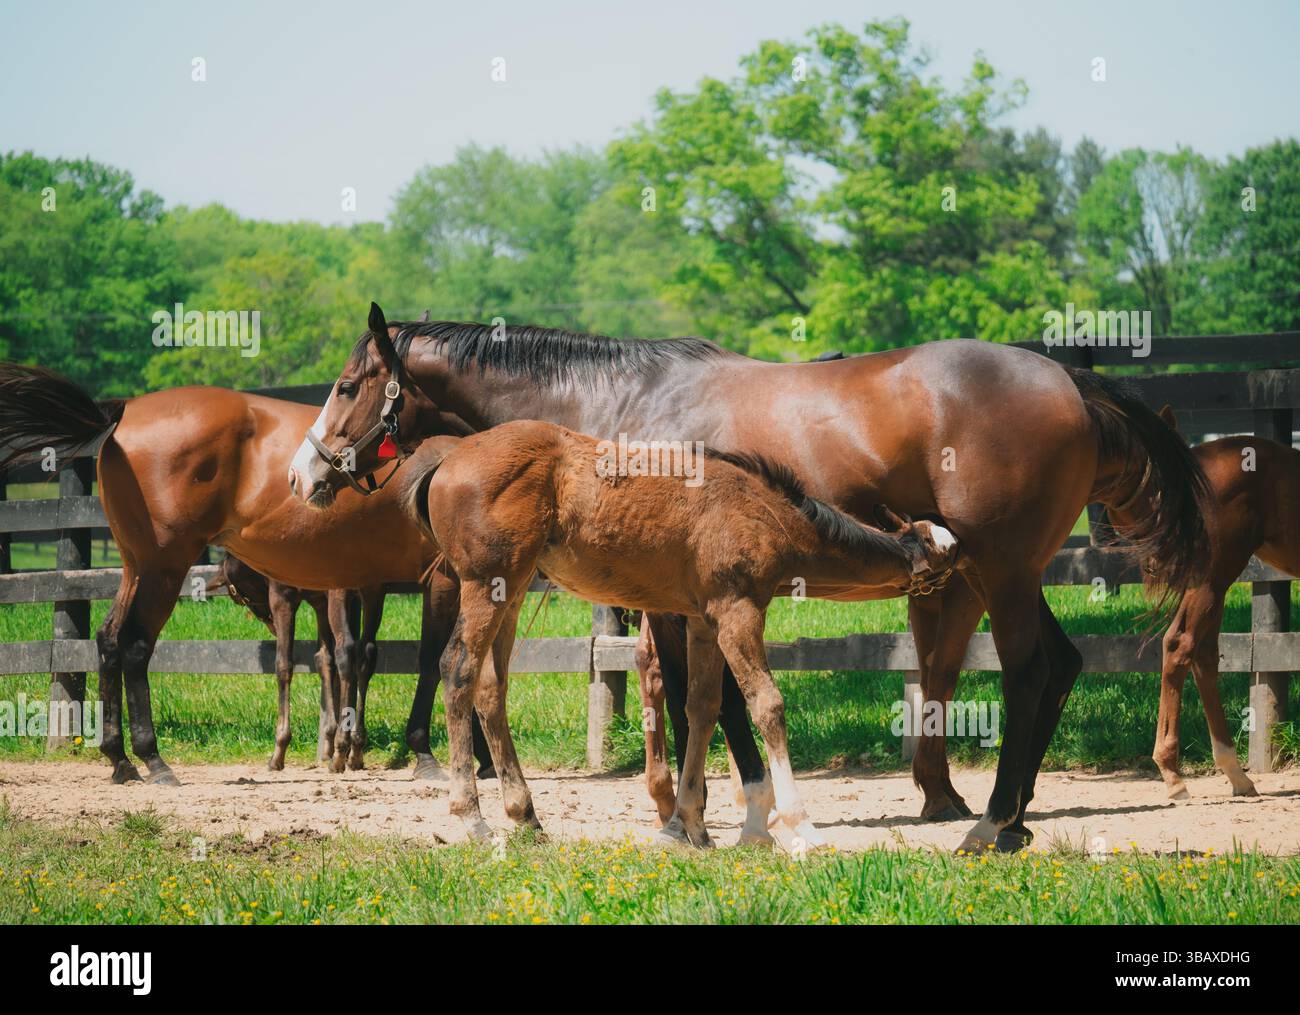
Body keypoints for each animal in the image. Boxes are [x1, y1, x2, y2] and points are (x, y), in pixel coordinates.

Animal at [0, 365, 494, 783]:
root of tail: (119, 417)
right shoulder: (437, 580)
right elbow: (433, 660)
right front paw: (429, 754)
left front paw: (479, 757)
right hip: (163, 568)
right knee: (135, 645)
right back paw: (152, 757)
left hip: (137, 566)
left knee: (107, 639)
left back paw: (120, 759)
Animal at [393, 419, 957, 845]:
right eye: (937, 553)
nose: (958, 569)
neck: (764, 512)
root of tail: (446, 461)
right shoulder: (737, 611)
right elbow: (766, 704)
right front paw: (798, 827)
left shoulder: (703, 622)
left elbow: (702, 708)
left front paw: (691, 825)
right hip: (486, 585)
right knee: (457, 670)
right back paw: (473, 820)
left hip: (509, 591)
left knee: (492, 687)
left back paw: (526, 817)